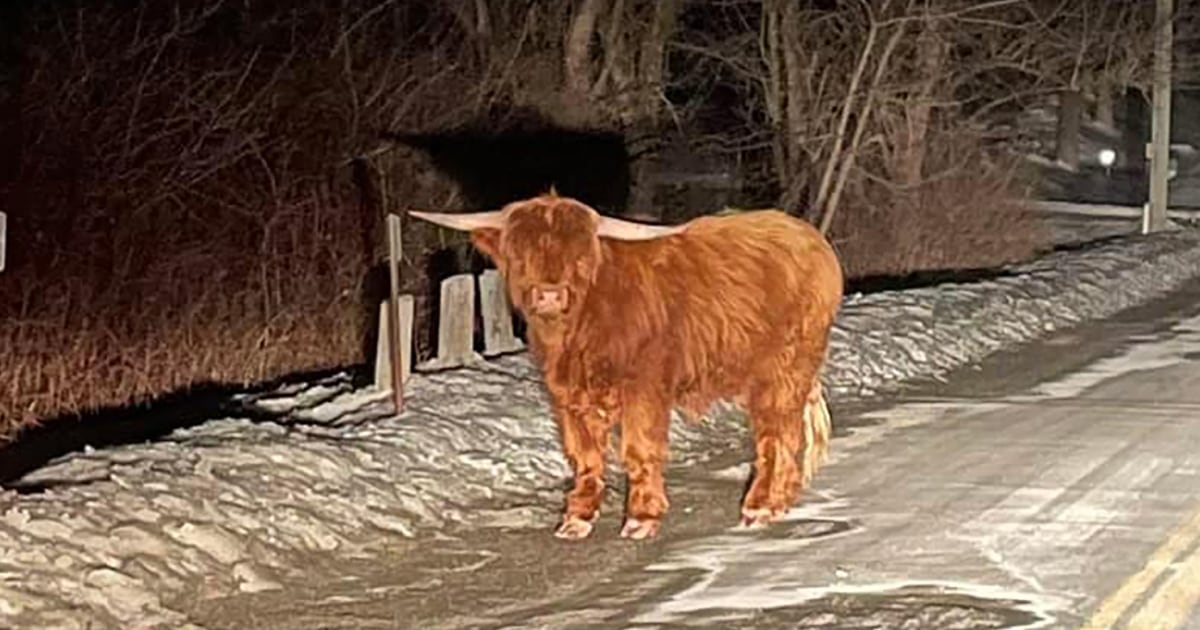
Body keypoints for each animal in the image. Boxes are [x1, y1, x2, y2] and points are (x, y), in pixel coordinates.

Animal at [412, 193, 844, 540]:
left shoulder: (644, 389)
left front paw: (641, 518)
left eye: (580, 256)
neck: (579, 327)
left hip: (783, 371)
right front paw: (577, 518)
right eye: (520, 255)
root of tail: (810, 238)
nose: (549, 295)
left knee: (776, 436)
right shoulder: (567, 396)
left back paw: (760, 507)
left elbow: (639, 450)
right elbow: (584, 456)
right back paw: (779, 500)